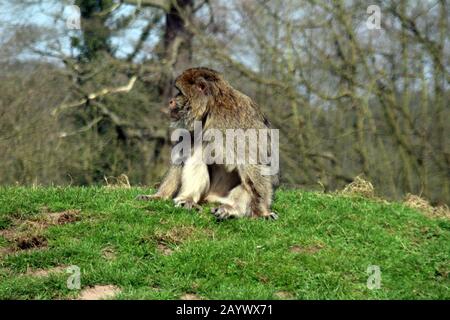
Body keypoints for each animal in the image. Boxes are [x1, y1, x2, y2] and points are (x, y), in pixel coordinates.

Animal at [137, 67, 278, 220]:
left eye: (180, 92)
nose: (171, 101)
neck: (211, 108)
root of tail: (212, 198)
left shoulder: (236, 122)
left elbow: (253, 163)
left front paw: (262, 211)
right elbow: (183, 154)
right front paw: (160, 195)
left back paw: (230, 209)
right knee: (198, 148)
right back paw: (188, 199)